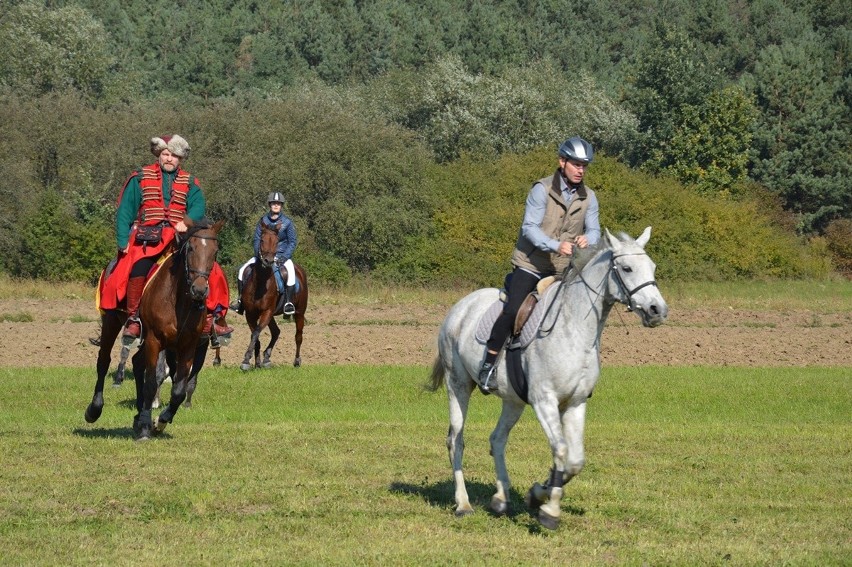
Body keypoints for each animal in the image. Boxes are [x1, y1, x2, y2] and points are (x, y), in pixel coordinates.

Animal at [131, 217, 225, 440]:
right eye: (190, 248)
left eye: (215, 251)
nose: (199, 290)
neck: (177, 299)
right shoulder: (154, 341)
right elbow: (151, 382)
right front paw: (147, 425)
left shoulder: (188, 347)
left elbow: (179, 389)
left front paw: (162, 421)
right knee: (141, 368)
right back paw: (141, 414)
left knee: (139, 364)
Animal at [238, 222, 308, 372]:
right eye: (262, 240)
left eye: (276, 241)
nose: (268, 261)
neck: (260, 283)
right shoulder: (251, 314)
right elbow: (256, 336)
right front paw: (256, 363)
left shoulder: (267, 312)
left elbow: (256, 333)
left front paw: (246, 360)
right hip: (271, 316)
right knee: (276, 332)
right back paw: (266, 359)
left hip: (299, 313)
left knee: (298, 336)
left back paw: (296, 361)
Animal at [430, 229, 668, 532]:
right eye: (626, 268)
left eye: (652, 267)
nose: (657, 310)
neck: (574, 328)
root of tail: (460, 306)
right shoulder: (545, 401)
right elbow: (561, 450)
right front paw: (549, 510)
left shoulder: (575, 403)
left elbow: (575, 461)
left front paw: (538, 494)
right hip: (458, 385)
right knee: (456, 440)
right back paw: (463, 504)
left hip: (513, 401)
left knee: (497, 439)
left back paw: (501, 499)